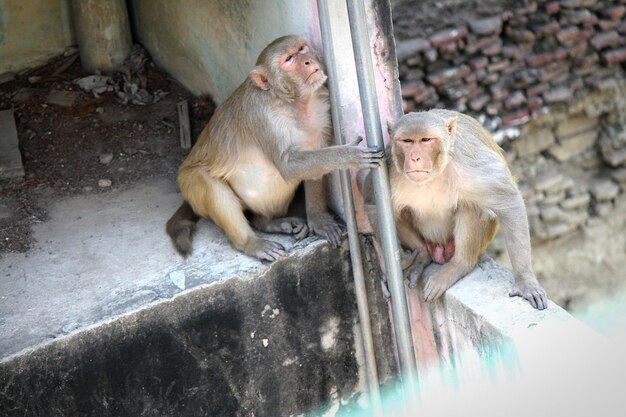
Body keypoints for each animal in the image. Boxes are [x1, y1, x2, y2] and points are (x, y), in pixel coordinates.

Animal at [360, 109, 544, 310]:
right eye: (407, 141)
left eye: (425, 140)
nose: (415, 158)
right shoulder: (389, 168)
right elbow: (372, 204)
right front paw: (399, 260)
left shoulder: (471, 168)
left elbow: (508, 200)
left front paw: (525, 281)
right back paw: (422, 254)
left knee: (471, 206)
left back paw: (460, 264)